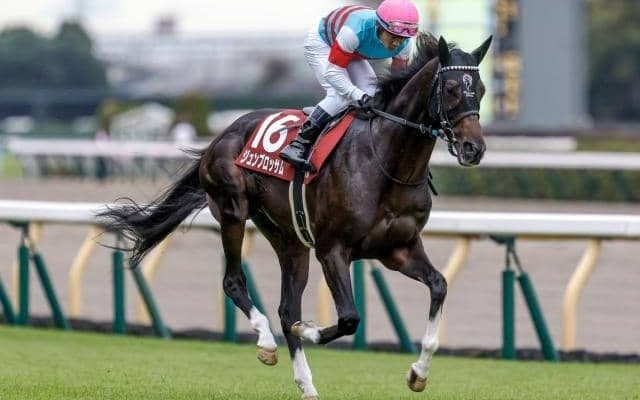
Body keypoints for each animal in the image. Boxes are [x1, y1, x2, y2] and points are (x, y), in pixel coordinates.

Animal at [99, 33, 492, 399]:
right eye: (451, 88)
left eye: (482, 90)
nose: (474, 148)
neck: (387, 162)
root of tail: (220, 136)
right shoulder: (333, 249)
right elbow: (349, 319)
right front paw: (309, 328)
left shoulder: (399, 248)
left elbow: (439, 285)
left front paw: (418, 373)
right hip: (233, 210)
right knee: (234, 282)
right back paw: (266, 342)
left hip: (289, 238)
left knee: (287, 308)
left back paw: (306, 383)